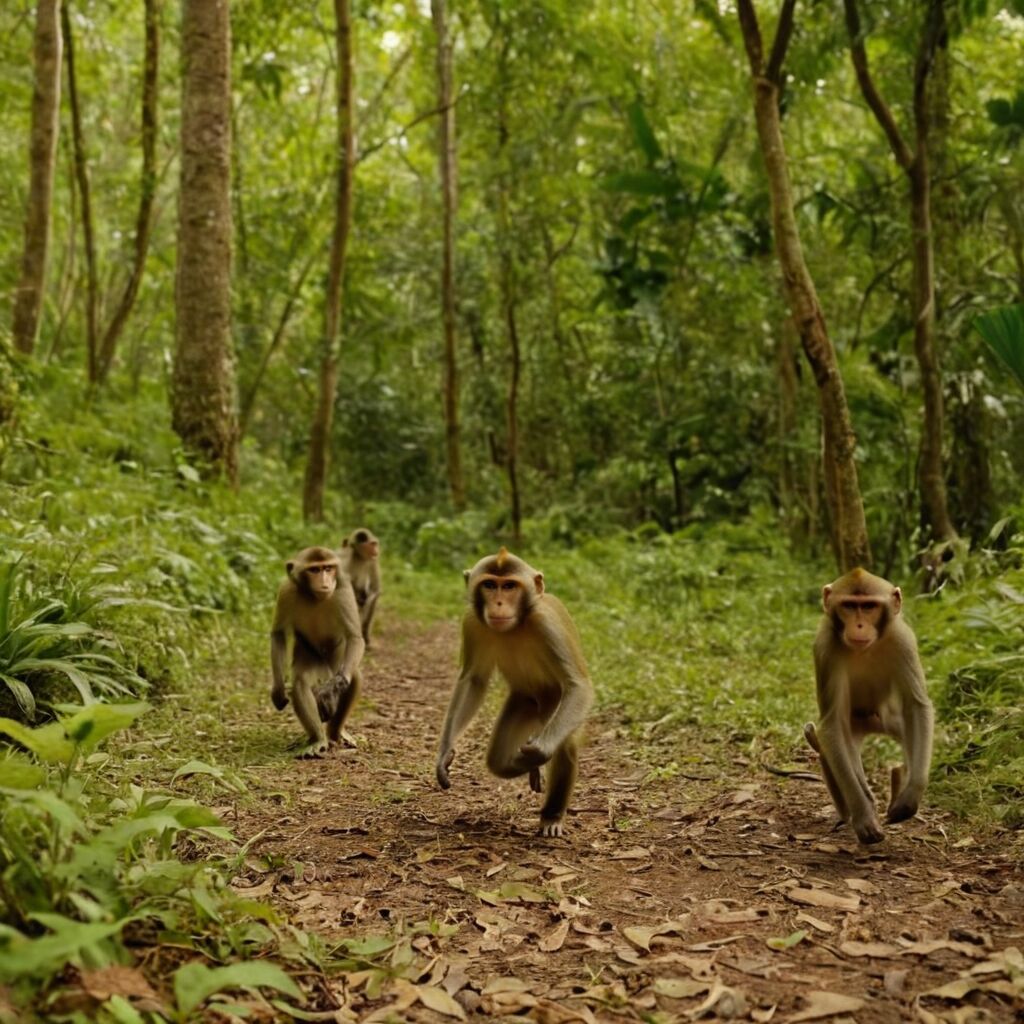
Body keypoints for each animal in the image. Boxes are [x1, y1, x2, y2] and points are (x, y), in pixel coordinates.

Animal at [270, 546, 366, 757]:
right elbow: (278, 635)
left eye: (328, 568)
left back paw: (336, 733)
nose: (324, 582)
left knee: (353, 677)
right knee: (301, 681)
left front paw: (333, 689)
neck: (314, 597)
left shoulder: (343, 590)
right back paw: (317, 739)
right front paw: (278, 687)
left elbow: (355, 637)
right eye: (314, 570)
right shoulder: (287, 590)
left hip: (337, 658)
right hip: (309, 654)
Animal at [435, 547, 593, 838]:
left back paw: (552, 815)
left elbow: (578, 685)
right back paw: (527, 767)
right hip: (525, 702)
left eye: (509, 586)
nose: (498, 603)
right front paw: (444, 753)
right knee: (496, 758)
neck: (518, 624)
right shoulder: (472, 621)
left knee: (564, 744)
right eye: (489, 585)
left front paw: (540, 751)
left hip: (556, 708)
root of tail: (541, 704)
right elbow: (473, 680)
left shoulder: (546, 624)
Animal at [803, 567, 934, 845]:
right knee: (833, 745)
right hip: (855, 725)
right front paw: (864, 815)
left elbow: (916, 705)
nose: (860, 625)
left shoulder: (902, 639)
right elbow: (832, 723)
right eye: (850, 606)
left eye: (869, 606)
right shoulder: (826, 646)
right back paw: (852, 810)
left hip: (886, 718)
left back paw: (900, 778)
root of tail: (867, 723)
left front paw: (911, 795)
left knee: (909, 729)